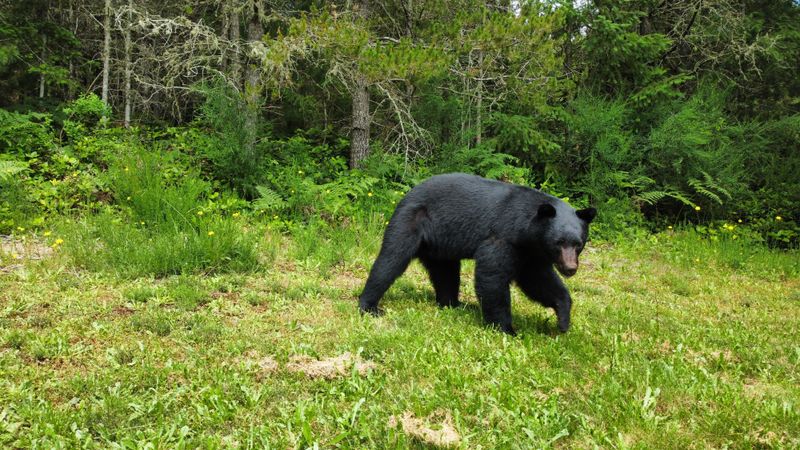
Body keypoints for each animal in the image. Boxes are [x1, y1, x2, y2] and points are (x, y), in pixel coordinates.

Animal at [358, 173, 596, 335]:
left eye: (578, 244)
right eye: (559, 243)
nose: (570, 268)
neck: (528, 232)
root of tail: (408, 194)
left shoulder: (531, 254)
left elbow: (539, 281)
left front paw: (563, 320)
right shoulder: (503, 237)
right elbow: (492, 276)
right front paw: (507, 329)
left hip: (440, 244)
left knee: (445, 273)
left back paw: (453, 303)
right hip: (410, 222)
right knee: (391, 259)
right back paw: (369, 306)